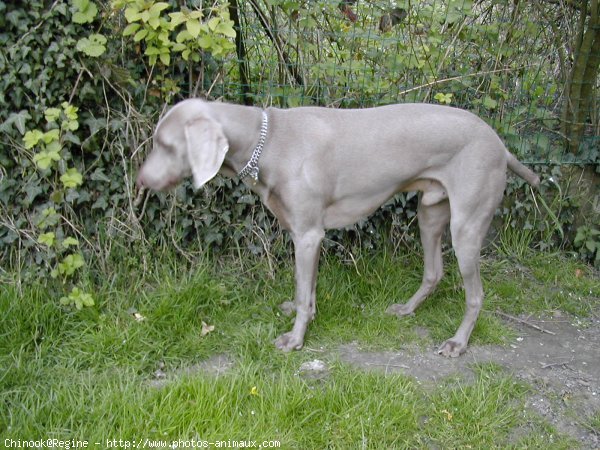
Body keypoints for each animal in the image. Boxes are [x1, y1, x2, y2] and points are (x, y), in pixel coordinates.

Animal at [137, 99, 540, 358]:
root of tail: (500, 145)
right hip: (430, 213)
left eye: (165, 144)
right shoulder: (305, 236)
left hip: (467, 226)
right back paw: (407, 309)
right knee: (434, 271)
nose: (142, 181)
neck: (269, 140)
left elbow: (303, 291)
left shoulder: (308, 235)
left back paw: (458, 342)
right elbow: (307, 289)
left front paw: (295, 339)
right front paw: (304, 315)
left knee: (476, 295)